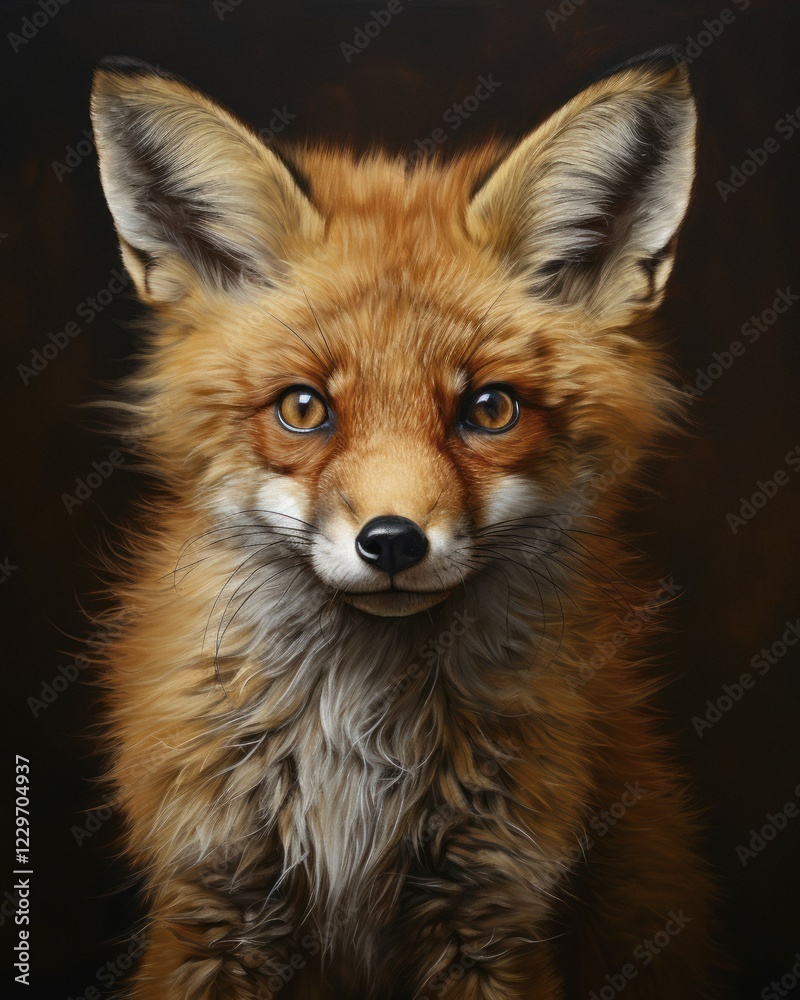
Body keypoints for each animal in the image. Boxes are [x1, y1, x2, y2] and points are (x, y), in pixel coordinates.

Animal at [90, 51, 718, 999]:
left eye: (490, 410)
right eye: (303, 408)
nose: (392, 542)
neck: (360, 746)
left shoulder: (491, 914)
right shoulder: (214, 904)